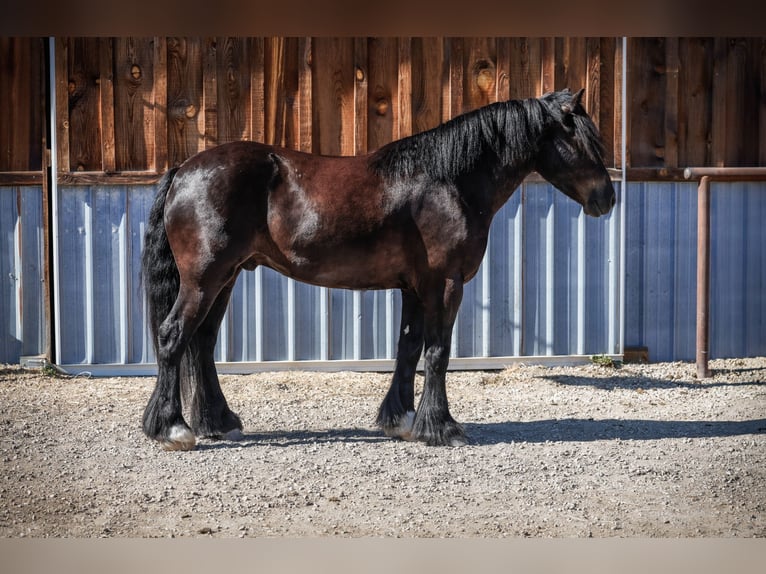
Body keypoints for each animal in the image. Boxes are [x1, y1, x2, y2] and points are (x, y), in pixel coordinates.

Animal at [141, 88, 615, 451]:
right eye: (581, 141)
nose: (607, 198)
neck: (447, 181)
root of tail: (184, 170)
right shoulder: (446, 284)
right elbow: (437, 352)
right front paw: (443, 428)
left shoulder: (415, 287)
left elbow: (408, 348)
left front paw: (401, 420)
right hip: (204, 279)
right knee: (173, 337)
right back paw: (172, 428)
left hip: (227, 277)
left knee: (202, 343)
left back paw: (217, 422)